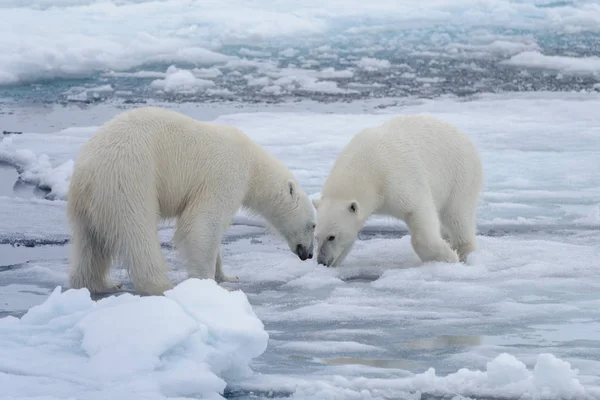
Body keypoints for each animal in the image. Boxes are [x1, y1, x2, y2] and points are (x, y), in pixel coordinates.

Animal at [68, 108, 316, 296]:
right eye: (313, 225)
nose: (309, 254)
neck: (253, 163)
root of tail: (86, 171)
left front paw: (227, 276)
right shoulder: (225, 174)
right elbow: (204, 224)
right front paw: (209, 284)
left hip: (88, 203)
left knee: (89, 244)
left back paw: (100, 283)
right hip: (129, 179)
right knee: (137, 233)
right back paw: (162, 286)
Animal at [314, 114, 482, 268]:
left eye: (331, 237)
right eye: (316, 236)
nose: (322, 262)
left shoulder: (397, 179)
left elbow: (419, 211)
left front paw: (448, 257)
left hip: (460, 175)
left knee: (457, 215)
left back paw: (464, 251)